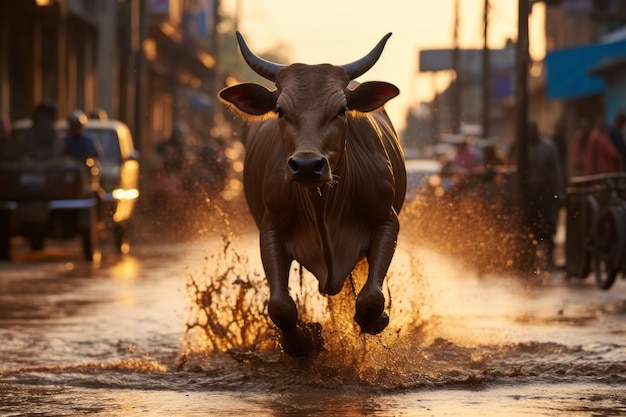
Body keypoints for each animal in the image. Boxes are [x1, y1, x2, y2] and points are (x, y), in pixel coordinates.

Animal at [218, 31, 404, 354]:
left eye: (341, 110)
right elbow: (280, 306)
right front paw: (302, 343)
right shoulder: (271, 230)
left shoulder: (387, 221)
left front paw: (377, 319)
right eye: (280, 110)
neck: (323, 209)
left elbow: (370, 299)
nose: (306, 166)